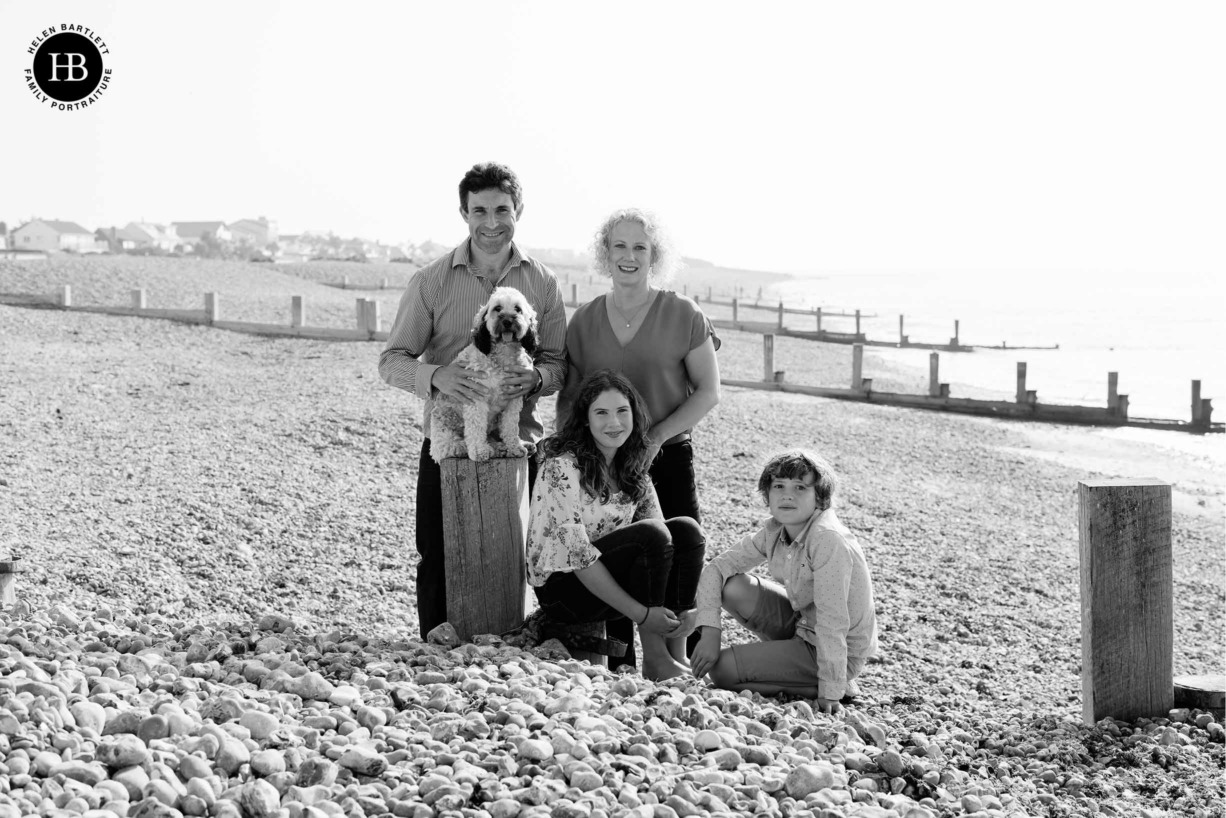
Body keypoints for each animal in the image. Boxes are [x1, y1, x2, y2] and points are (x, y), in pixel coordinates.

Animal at [431, 288, 536, 463]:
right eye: (497, 308)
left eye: (518, 309)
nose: (507, 321)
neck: (503, 354)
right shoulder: (476, 398)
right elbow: (476, 428)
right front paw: (479, 451)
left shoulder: (513, 400)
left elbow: (510, 427)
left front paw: (514, 447)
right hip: (445, 438)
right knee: (454, 446)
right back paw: (490, 448)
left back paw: (511, 446)